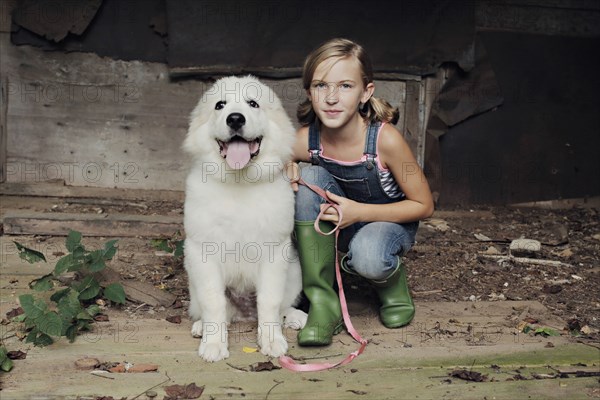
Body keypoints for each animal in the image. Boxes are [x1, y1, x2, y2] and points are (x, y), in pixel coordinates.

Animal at [183, 75, 308, 362]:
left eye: (253, 103)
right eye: (220, 105)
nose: (235, 119)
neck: (239, 182)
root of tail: (245, 315)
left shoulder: (275, 252)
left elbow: (270, 301)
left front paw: (271, 340)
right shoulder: (202, 252)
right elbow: (214, 302)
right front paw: (214, 344)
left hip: (294, 269)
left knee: (281, 307)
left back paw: (294, 317)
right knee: (217, 311)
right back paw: (202, 327)